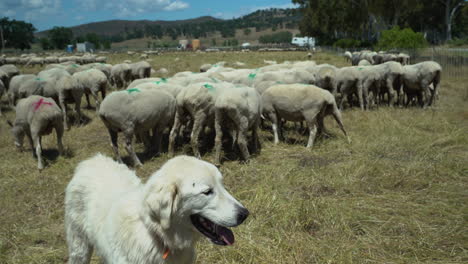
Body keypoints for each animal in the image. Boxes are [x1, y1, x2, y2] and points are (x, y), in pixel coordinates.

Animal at [66, 154, 250, 262]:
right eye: (207, 192)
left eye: (222, 185)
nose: (244, 214)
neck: (158, 237)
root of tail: (93, 159)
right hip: (79, 248)